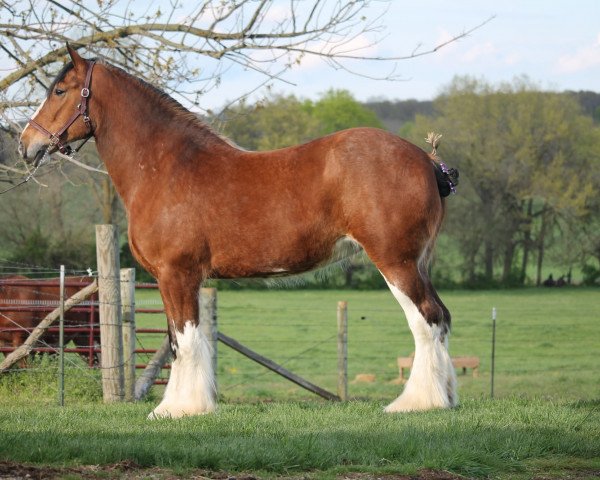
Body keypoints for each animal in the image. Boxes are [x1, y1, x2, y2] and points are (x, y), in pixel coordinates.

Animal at [18, 47, 460, 418]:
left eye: (59, 90)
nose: (26, 144)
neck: (166, 167)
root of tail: (427, 160)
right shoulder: (178, 279)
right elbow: (178, 340)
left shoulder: (177, 274)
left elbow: (186, 339)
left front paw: (181, 409)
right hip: (416, 264)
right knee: (441, 317)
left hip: (396, 262)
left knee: (426, 320)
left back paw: (416, 403)